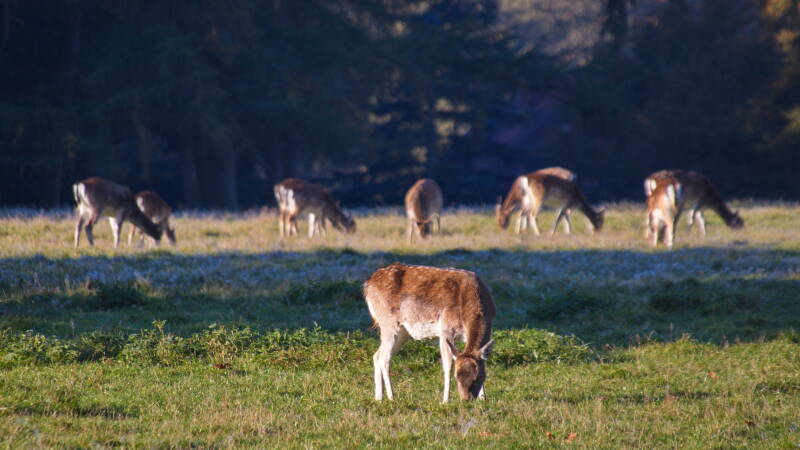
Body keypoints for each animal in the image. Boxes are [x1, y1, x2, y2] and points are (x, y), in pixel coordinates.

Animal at [364, 263, 495, 403]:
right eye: (457, 376)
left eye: (478, 377)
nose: (466, 399)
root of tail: (367, 284)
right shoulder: (445, 330)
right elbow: (448, 366)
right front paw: (445, 401)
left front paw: (483, 398)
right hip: (388, 323)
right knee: (384, 357)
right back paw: (391, 397)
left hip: (403, 332)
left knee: (377, 355)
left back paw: (378, 398)